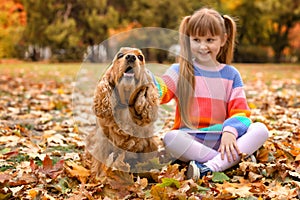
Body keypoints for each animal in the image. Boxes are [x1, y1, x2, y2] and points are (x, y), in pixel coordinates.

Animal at [85, 47, 161, 175]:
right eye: (120, 55)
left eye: (140, 57)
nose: (131, 57)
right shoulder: (102, 142)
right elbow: (100, 163)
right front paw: (98, 176)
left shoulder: (148, 142)